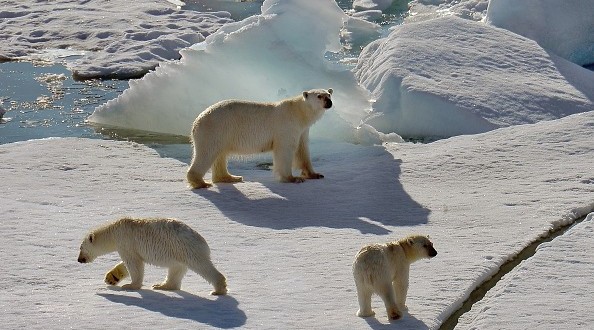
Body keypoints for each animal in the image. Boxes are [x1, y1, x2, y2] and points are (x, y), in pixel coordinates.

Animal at [78, 218, 227, 296]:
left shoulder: (126, 241)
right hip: (178, 253)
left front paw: (130, 285)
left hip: (186, 248)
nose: (79, 260)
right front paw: (111, 278)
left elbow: (134, 263)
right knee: (176, 270)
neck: (114, 231)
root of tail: (202, 241)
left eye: (80, 248)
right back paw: (161, 285)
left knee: (202, 266)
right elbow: (129, 263)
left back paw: (218, 290)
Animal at [186, 87, 332, 189]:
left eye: (329, 94)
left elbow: (302, 150)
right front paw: (292, 178)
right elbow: (285, 149)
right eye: (319, 96)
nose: (329, 102)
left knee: (220, 155)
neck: (298, 113)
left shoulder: (302, 130)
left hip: (222, 134)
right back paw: (201, 183)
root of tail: (196, 122)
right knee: (207, 153)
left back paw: (230, 177)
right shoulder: (286, 126)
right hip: (214, 130)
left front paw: (315, 174)